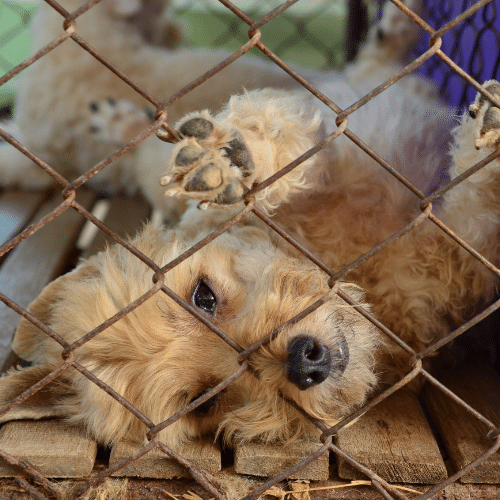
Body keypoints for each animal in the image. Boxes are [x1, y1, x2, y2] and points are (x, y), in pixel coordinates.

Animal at [0, 68, 498, 448]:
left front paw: (233, 158)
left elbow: (290, 140)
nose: (305, 363)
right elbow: (475, 220)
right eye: (203, 402)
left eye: (202, 296)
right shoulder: (452, 262)